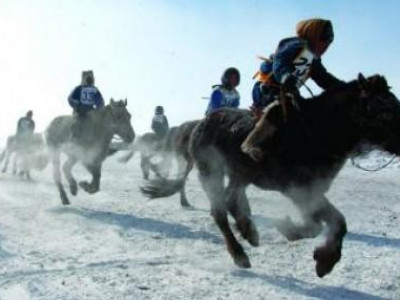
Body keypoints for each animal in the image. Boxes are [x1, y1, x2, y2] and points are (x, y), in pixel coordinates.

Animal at [140, 74, 400, 278]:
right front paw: (322, 259)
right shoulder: (298, 189)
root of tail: (198, 126)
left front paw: (315, 251)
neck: (316, 131)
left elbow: (324, 223)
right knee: (220, 211)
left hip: (238, 174)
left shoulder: (310, 191)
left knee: (232, 199)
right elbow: (332, 223)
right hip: (211, 171)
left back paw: (249, 231)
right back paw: (240, 254)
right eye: (382, 108)